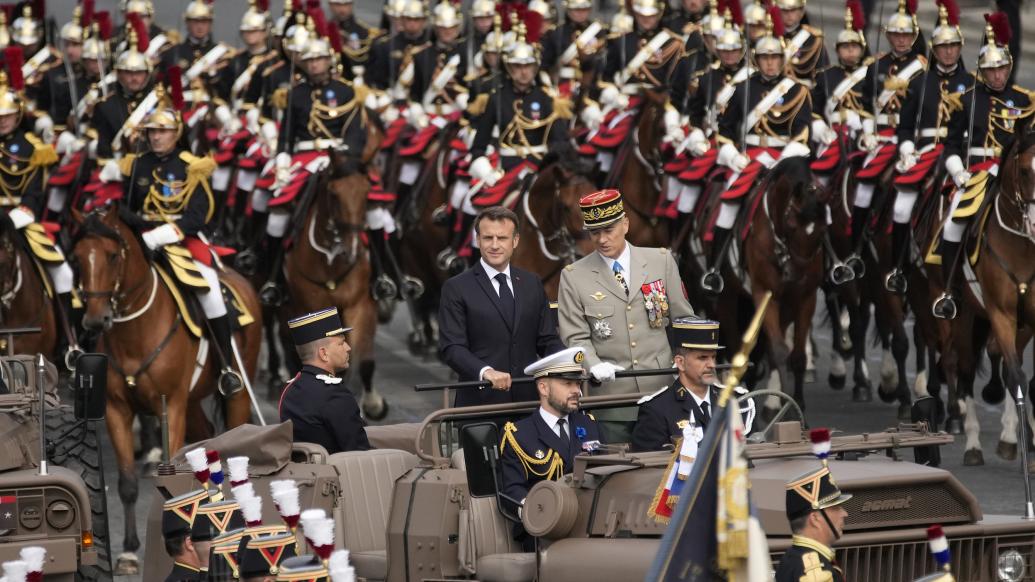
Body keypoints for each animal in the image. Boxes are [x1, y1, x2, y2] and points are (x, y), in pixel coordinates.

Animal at [70, 205, 260, 571]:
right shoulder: (117, 409)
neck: (135, 332)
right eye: (77, 258)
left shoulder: (171, 405)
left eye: (112, 255)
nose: (94, 321)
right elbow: (127, 484)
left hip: (237, 394)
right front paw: (130, 552)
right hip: (193, 405)